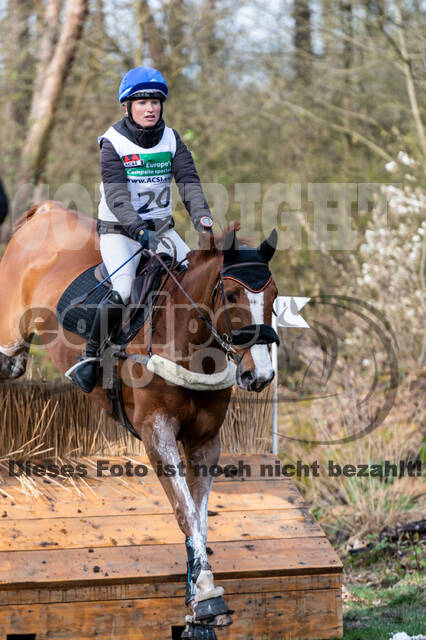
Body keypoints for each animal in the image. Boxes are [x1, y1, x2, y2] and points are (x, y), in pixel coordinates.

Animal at [0, 201, 280, 640]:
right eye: (232, 294)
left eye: (274, 295)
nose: (260, 375)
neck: (189, 341)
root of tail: (46, 210)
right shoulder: (156, 433)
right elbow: (185, 511)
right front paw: (206, 597)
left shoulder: (206, 441)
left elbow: (199, 518)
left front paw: (197, 608)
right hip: (8, 344)